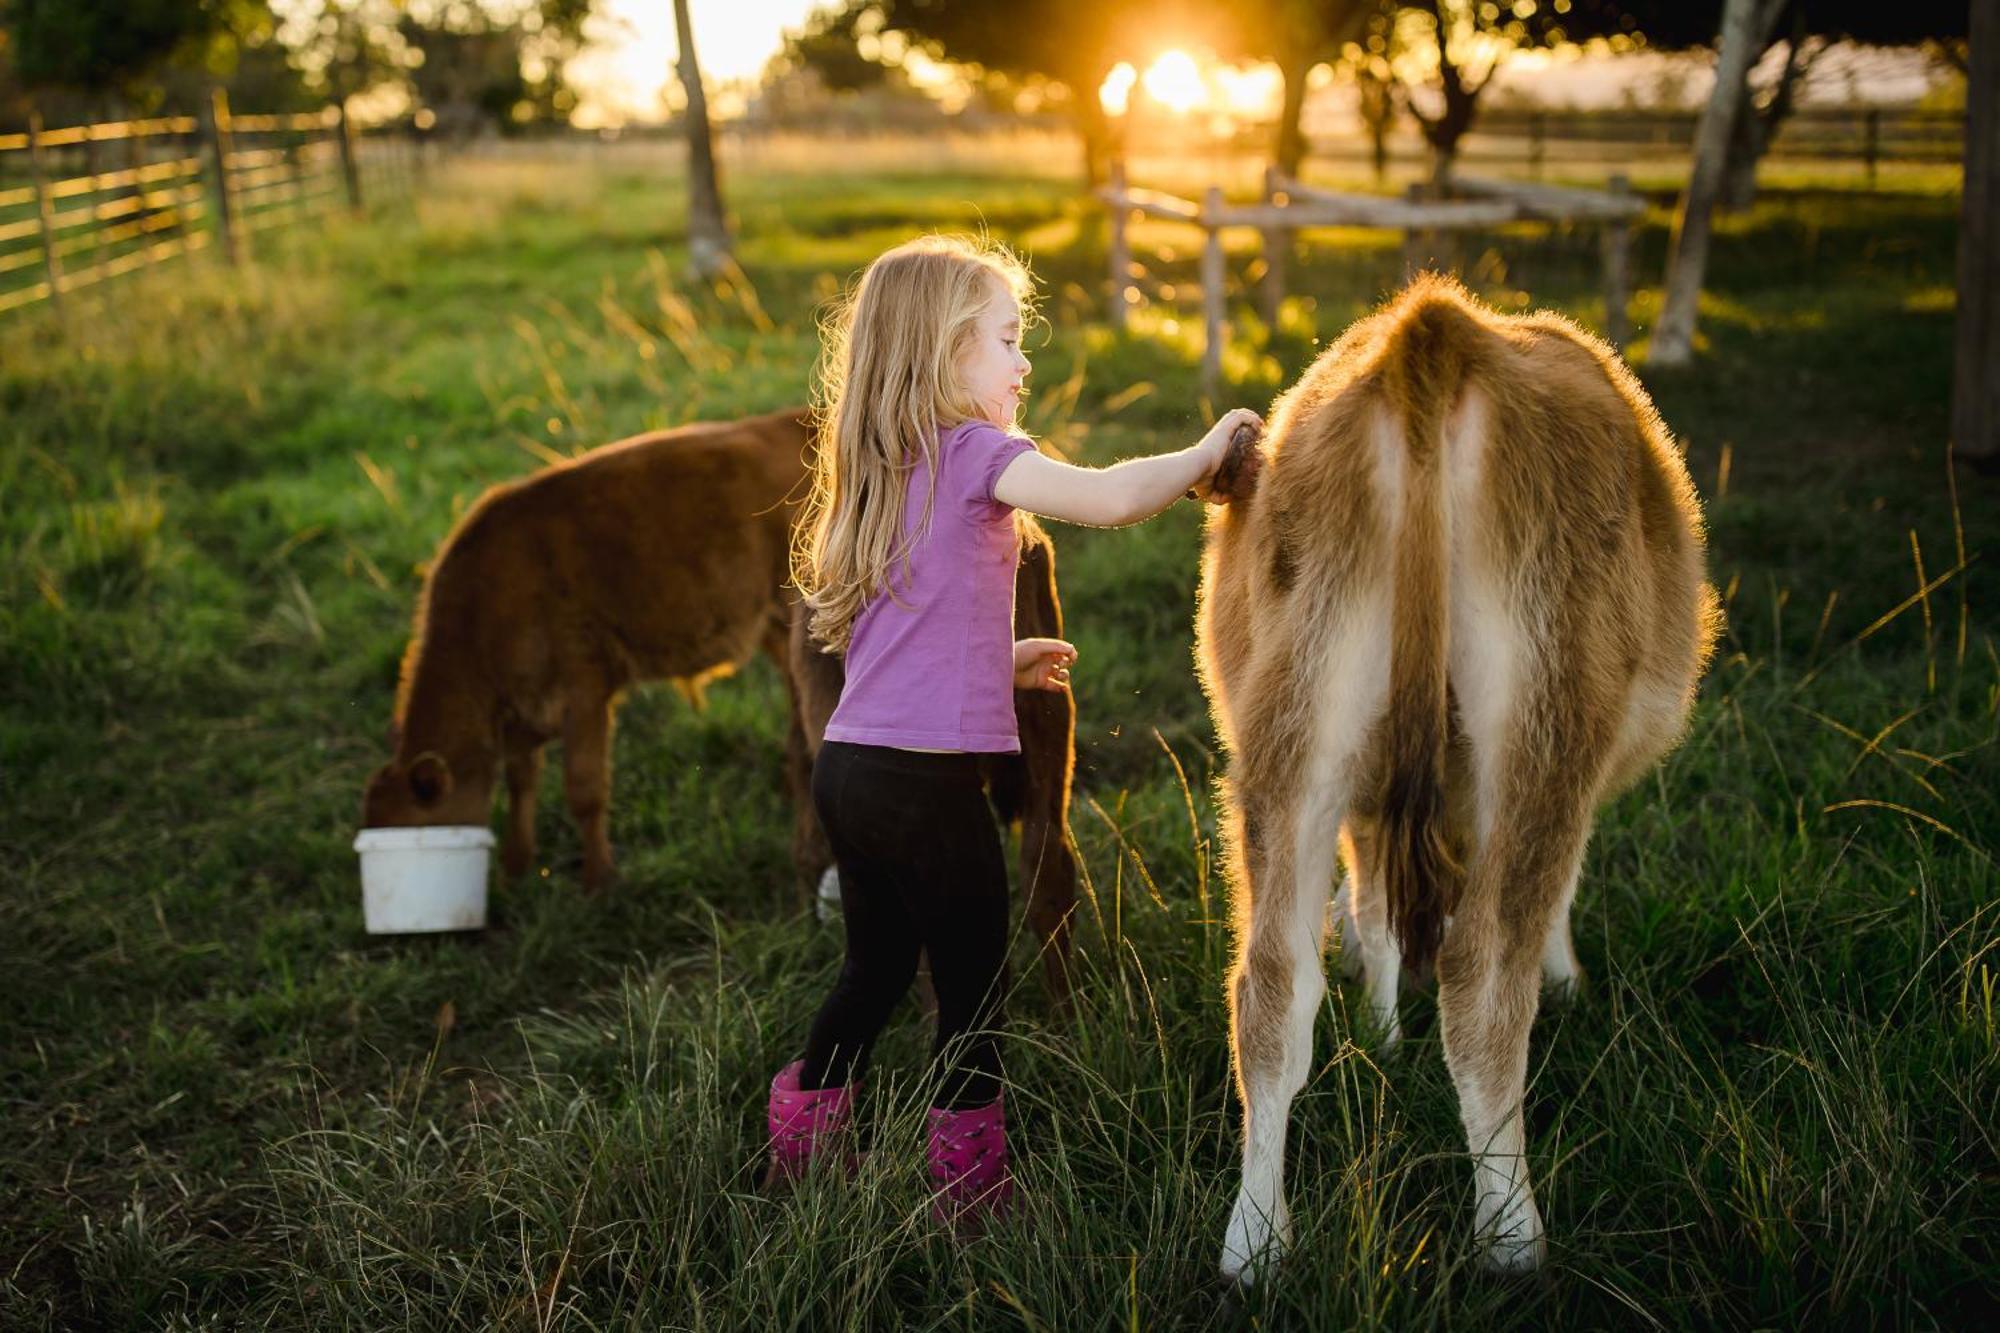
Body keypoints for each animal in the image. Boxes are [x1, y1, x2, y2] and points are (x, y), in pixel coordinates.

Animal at [368, 404, 812, 880]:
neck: (481, 608)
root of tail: (795, 418)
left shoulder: (585, 690)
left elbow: (584, 789)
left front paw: (599, 877)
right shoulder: (522, 712)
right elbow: (521, 781)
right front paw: (516, 865)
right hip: (773, 629)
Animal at [1192, 278, 1728, 1280]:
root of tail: (1437, 329)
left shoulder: (1369, 802)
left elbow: (1373, 905)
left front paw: (1382, 1022)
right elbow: (1549, 900)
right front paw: (1566, 980)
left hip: (1296, 726)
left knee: (1271, 983)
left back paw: (1256, 1243)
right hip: (1543, 719)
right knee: (1482, 978)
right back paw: (1512, 1238)